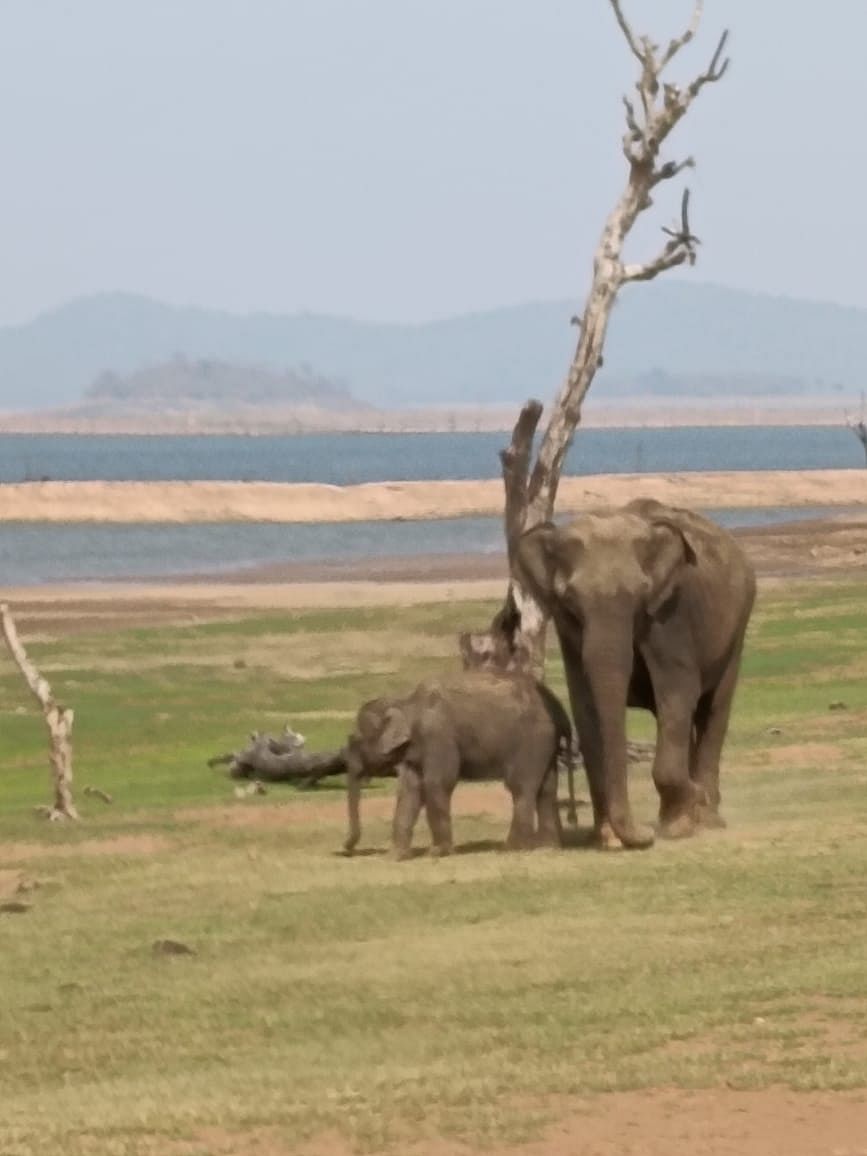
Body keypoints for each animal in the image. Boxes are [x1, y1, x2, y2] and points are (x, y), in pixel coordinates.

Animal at [342, 670, 578, 860]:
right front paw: (395, 857)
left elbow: (437, 783)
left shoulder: (438, 736)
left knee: (521, 787)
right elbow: (410, 789)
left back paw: (510, 849)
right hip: (545, 744)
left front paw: (437, 853)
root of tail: (560, 710)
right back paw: (547, 847)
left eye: (354, 741)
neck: (406, 702)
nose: (346, 850)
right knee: (546, 789)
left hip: (532, 740)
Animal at [515, 497, 753, 850]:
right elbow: (586, 705)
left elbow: (677, 692)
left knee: (713, 709)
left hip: (737, 626)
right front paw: (609, 838)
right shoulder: (567, 629)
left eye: (640, 595)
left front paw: (679, 825)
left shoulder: (671, 616)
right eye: (570, 600)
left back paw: (707, 818)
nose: (645, 833)